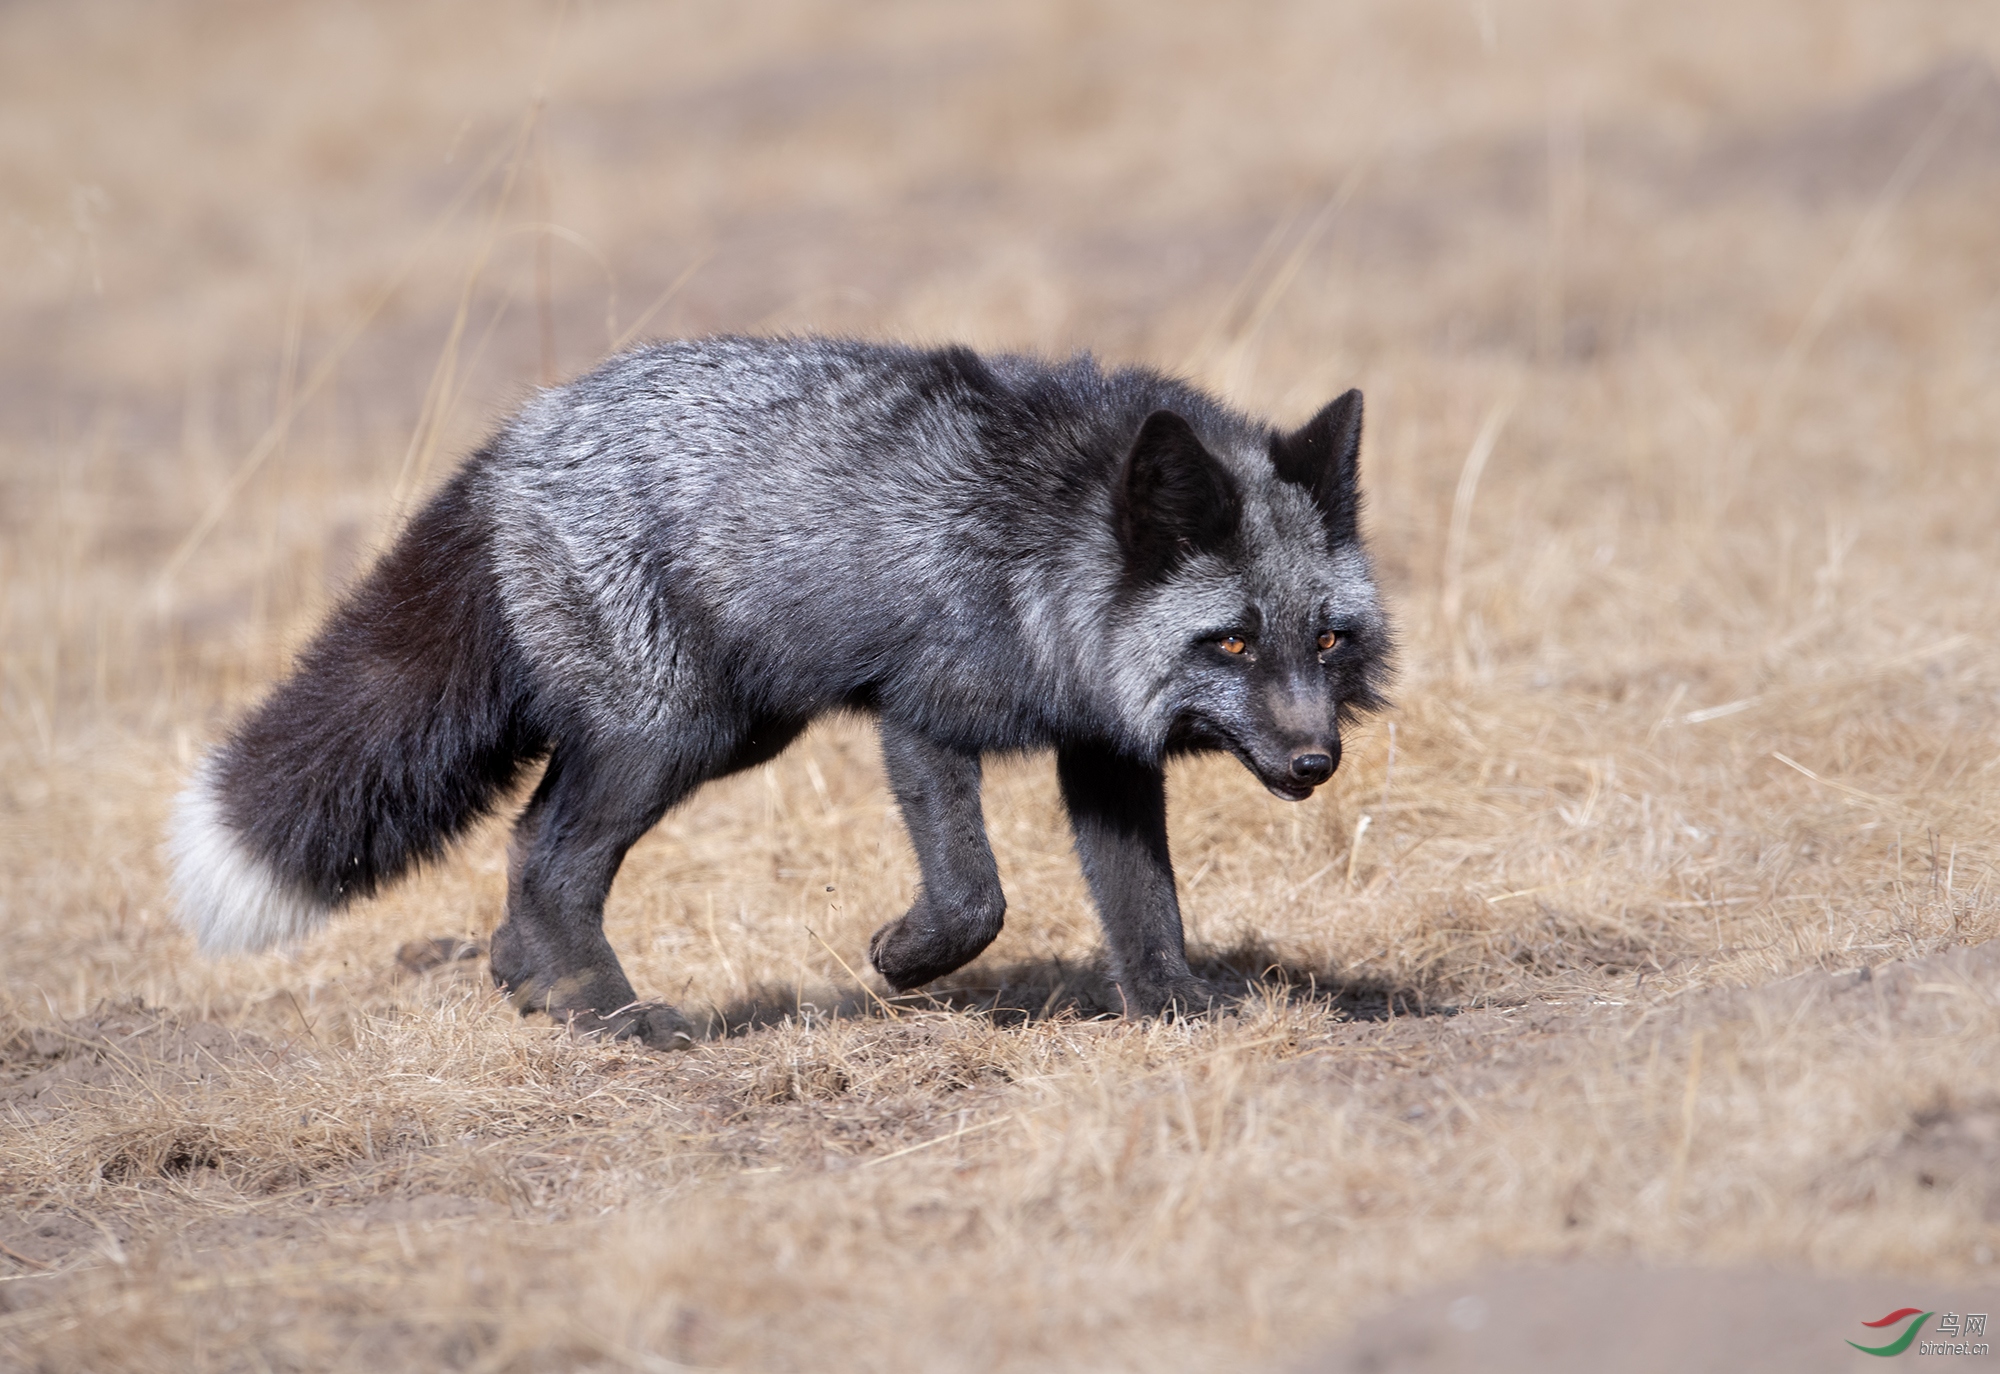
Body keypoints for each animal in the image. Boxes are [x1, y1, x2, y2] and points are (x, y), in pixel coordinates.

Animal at [172, 338, 1392, 1048]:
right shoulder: (920, 711)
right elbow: (974, 897)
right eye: (1230, 643)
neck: (1038, 558)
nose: (1314, 764)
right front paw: (901, 962)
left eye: (1327, 641)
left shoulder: (1103, 747)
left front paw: (1174, 1006)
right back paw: (612, 1016)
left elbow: (1143, 901)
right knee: (548, 857)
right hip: (669, 735)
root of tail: (516, 440)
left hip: (722, 734)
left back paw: (538, 986)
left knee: (526, 843)